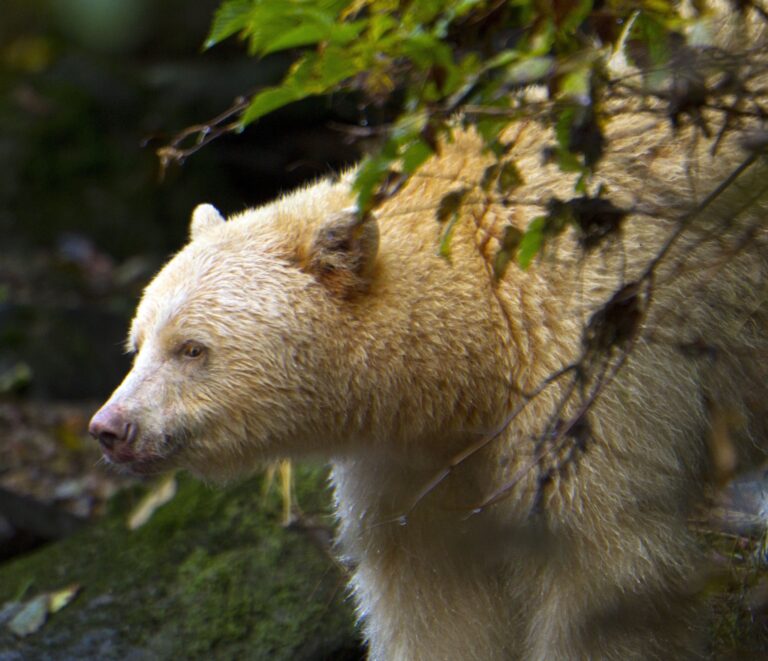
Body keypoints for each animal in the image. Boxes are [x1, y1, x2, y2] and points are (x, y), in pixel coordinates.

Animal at [90, 10, 768, 661]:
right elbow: (433, 593)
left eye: (192, 348)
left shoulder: (591, 368)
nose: (111, 427)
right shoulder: (410, 461)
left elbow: (604, 571)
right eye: (138, 343)